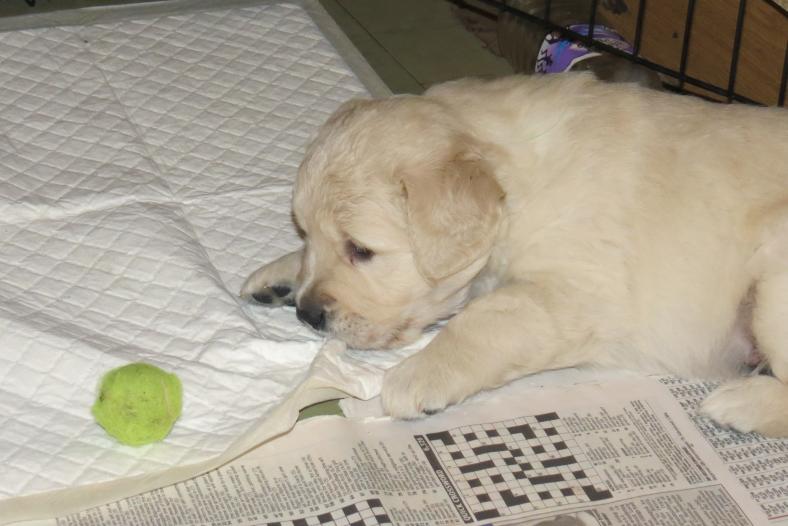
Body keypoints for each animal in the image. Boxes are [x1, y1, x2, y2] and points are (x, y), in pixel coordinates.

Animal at [242, 73, 788, 438]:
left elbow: (489, 316)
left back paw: (741, 404)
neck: (519, 185)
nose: (308, 314)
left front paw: (418, 375)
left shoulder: (581, 291)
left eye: (362, 250)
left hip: (773, 277)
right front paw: (279, 274)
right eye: (304, 231)